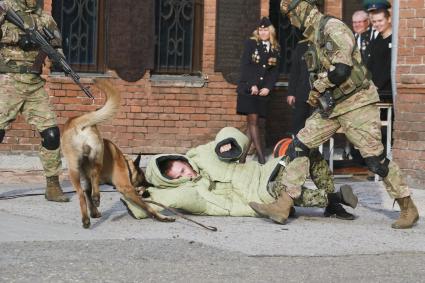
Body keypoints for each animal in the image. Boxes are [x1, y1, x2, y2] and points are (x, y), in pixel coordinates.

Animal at [61, 79, 174, 229]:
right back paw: (97, 197)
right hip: (98, 153)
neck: (125, 163)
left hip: (73, 167)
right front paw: (162, 217)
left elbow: (87, 194)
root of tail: (75, 121)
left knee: (80, 193)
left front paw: (93, 213)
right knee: (94, 174)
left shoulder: (86, 182)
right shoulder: (127, 188)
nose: (150, 186)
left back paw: (86, 219)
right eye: (142, 178)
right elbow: (147, 207)